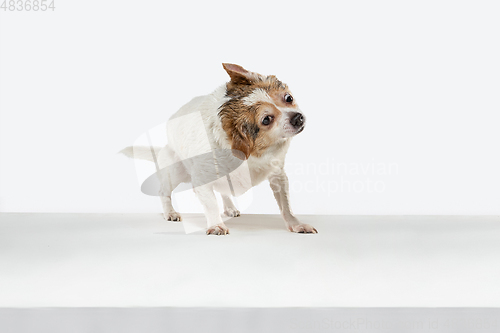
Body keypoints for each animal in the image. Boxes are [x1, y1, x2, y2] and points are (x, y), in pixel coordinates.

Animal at [121, 63, 316, 235]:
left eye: (288, 98)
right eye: (266, 120)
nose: (298, 117)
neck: (251, 153)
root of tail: (164, 147)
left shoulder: (278, 176)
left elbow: (286, 206)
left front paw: (296, 224)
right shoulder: (201, 180)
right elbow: (211, 204)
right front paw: (216, 225)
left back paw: (229, 207)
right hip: (175, 172)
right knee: (164, 192)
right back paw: (170, 212)